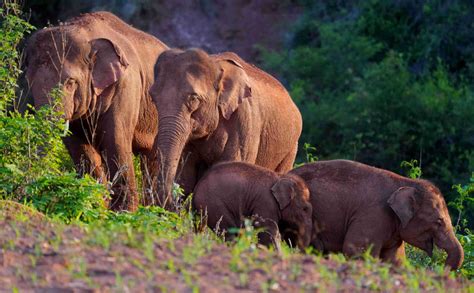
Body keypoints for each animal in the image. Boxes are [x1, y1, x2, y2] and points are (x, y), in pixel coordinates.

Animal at [25, 12, 168, 210]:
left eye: (70, 82)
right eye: (29, 81)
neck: (86, 34)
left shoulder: (126, 87)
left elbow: (116, 141)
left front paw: (124, 212)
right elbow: (79, 147)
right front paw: (96, 205)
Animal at [150, 48, 302, 208]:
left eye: (194, 98)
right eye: (153, 97)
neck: (216, 65)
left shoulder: (243, 121)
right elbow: (186, 177)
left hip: (291, 148)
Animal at [290, 160, 464, 270]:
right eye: (439, 222)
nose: (440, 268)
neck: (405, 182)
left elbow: (394, 259)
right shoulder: (374, 215)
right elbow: (355, 249)